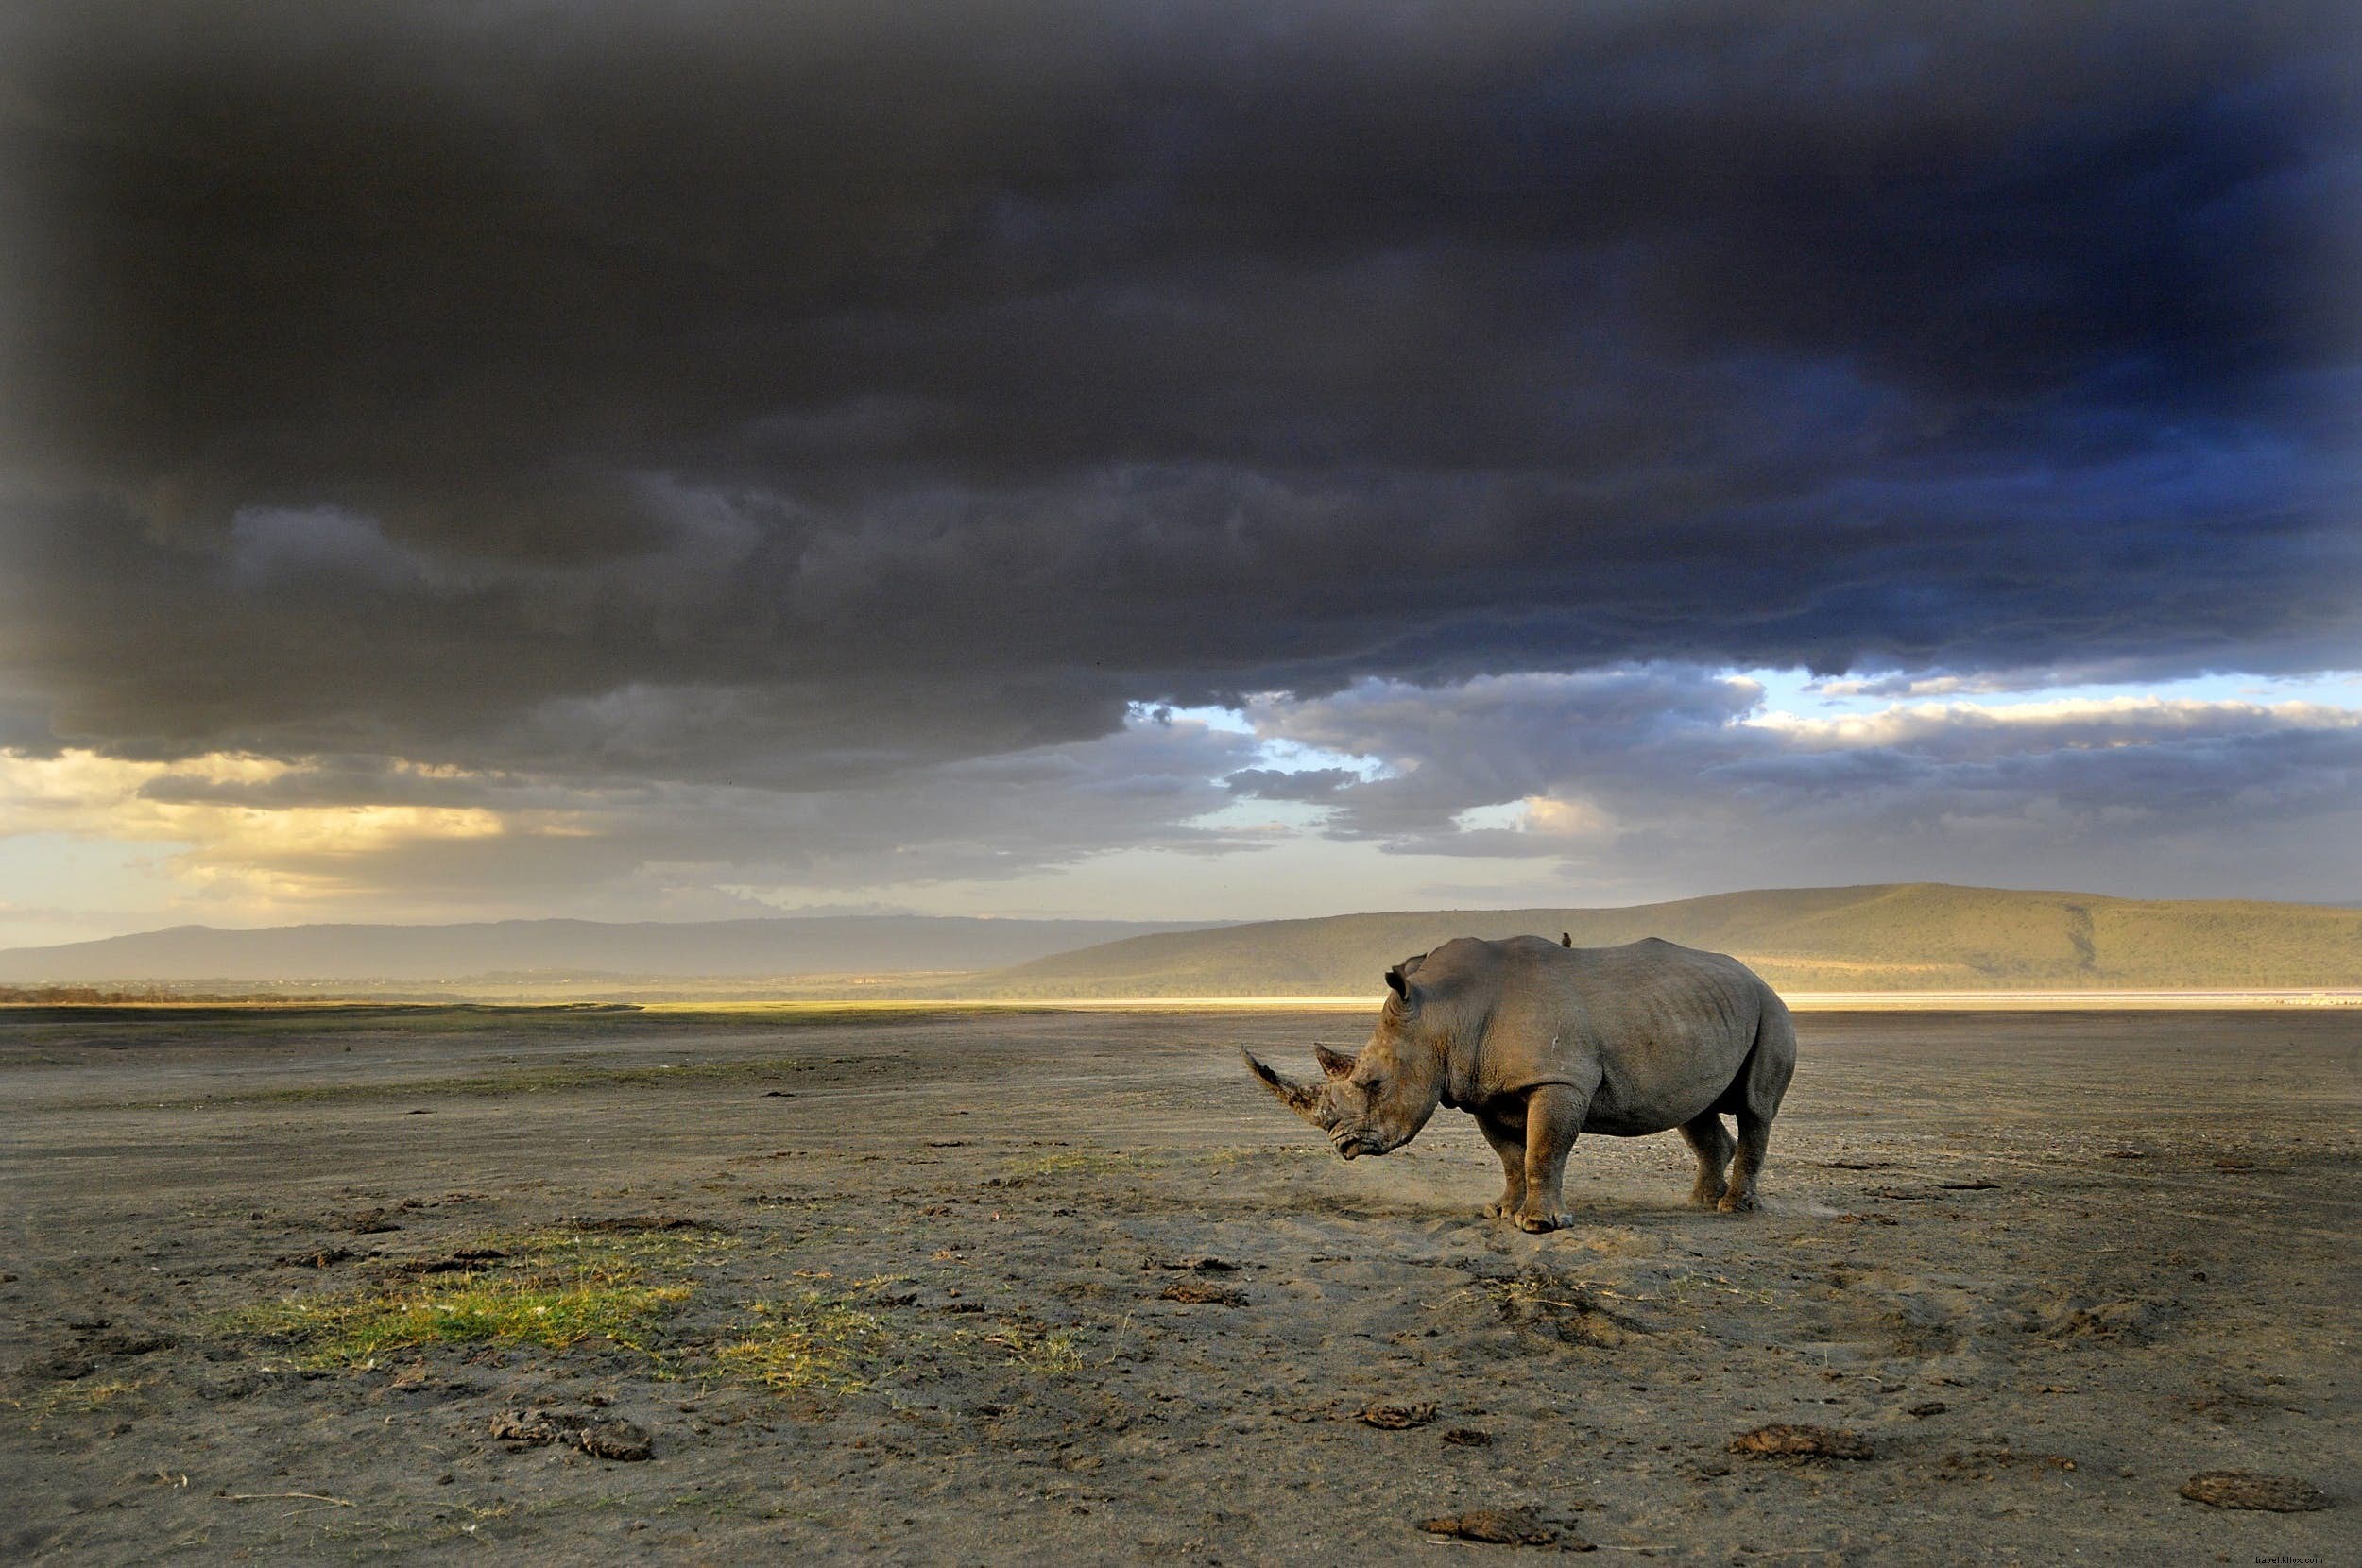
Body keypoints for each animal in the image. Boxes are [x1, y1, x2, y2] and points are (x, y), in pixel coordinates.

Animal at [1242, 935, 1796, 1231]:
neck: (1443, 1013)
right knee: (1694, 1112)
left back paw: (1734, 1209)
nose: (1343, 1145)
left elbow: (1542, 1150)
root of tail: (1758, 978)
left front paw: (1538, 1226)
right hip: (1703, 1013)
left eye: (1375, 1084)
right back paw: (1700, 1204)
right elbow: (1511, 1156)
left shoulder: (1559, 1080)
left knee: (1755, 1108)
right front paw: (1500, 1212)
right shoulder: (1482, 1090)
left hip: (1770, 1009)